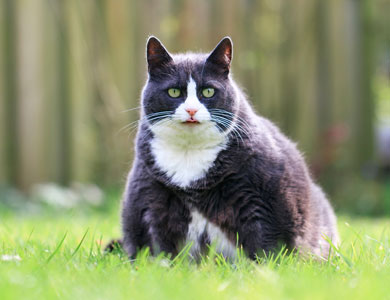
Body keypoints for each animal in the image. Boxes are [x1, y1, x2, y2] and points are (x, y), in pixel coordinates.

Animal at [116, 35, 338, 260]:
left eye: (208, 91)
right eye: (173, 91)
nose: (191, 110)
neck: (189, 152)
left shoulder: (257, 200)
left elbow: (264, 242)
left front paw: (261, 267)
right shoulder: (151, 199)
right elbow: (157, 245)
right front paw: (161, 264)